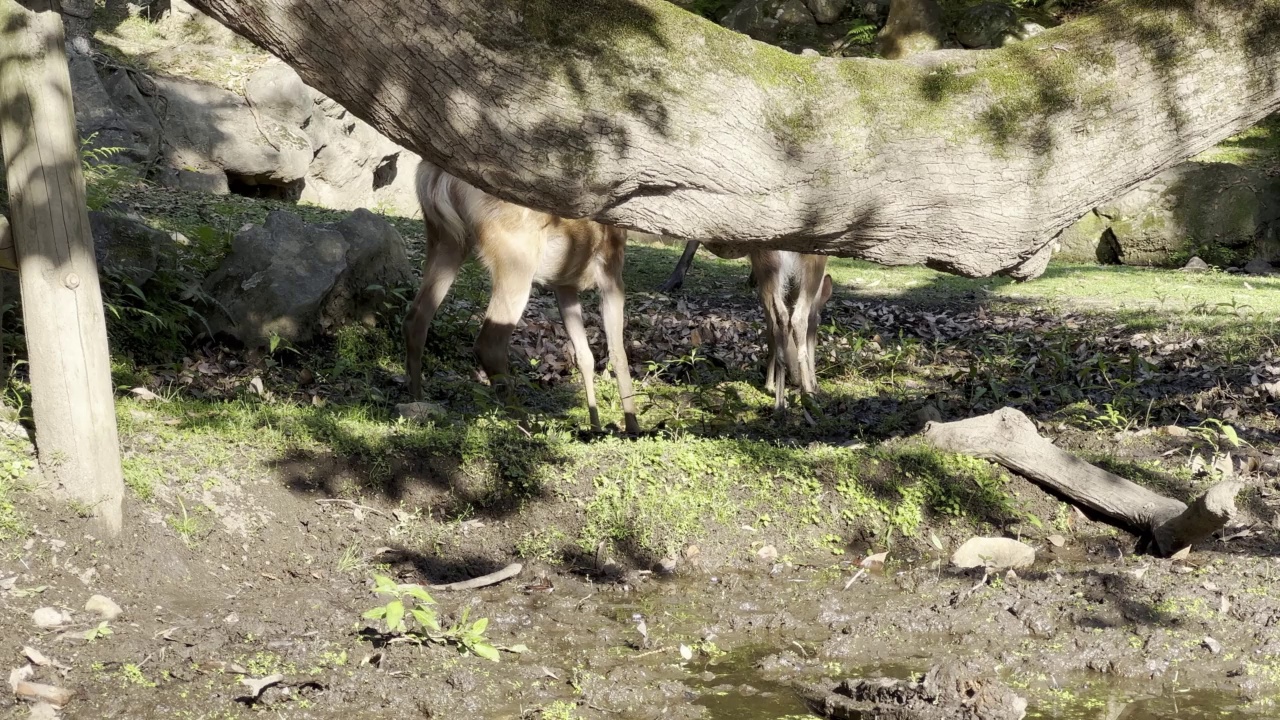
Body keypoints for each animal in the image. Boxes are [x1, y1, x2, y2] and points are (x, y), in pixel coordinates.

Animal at [399, 158, 640, 430]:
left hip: (444, 239)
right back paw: (527, 424)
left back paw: (417, 400)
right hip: (515, 257)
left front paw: (596, 426)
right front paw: (632, 427)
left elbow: (584, 355)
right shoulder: (611, 271)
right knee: (489, 343)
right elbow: (618, 354)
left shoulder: (564, 284)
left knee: (416, 318)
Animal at [660, 238, 829, 412]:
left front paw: (771, 385)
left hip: (771, 266)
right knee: (795, 317)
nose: (795, 379)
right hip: (804, 263)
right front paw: (810, 385)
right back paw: (804, 396)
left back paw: (784, 400)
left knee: (783, 318)